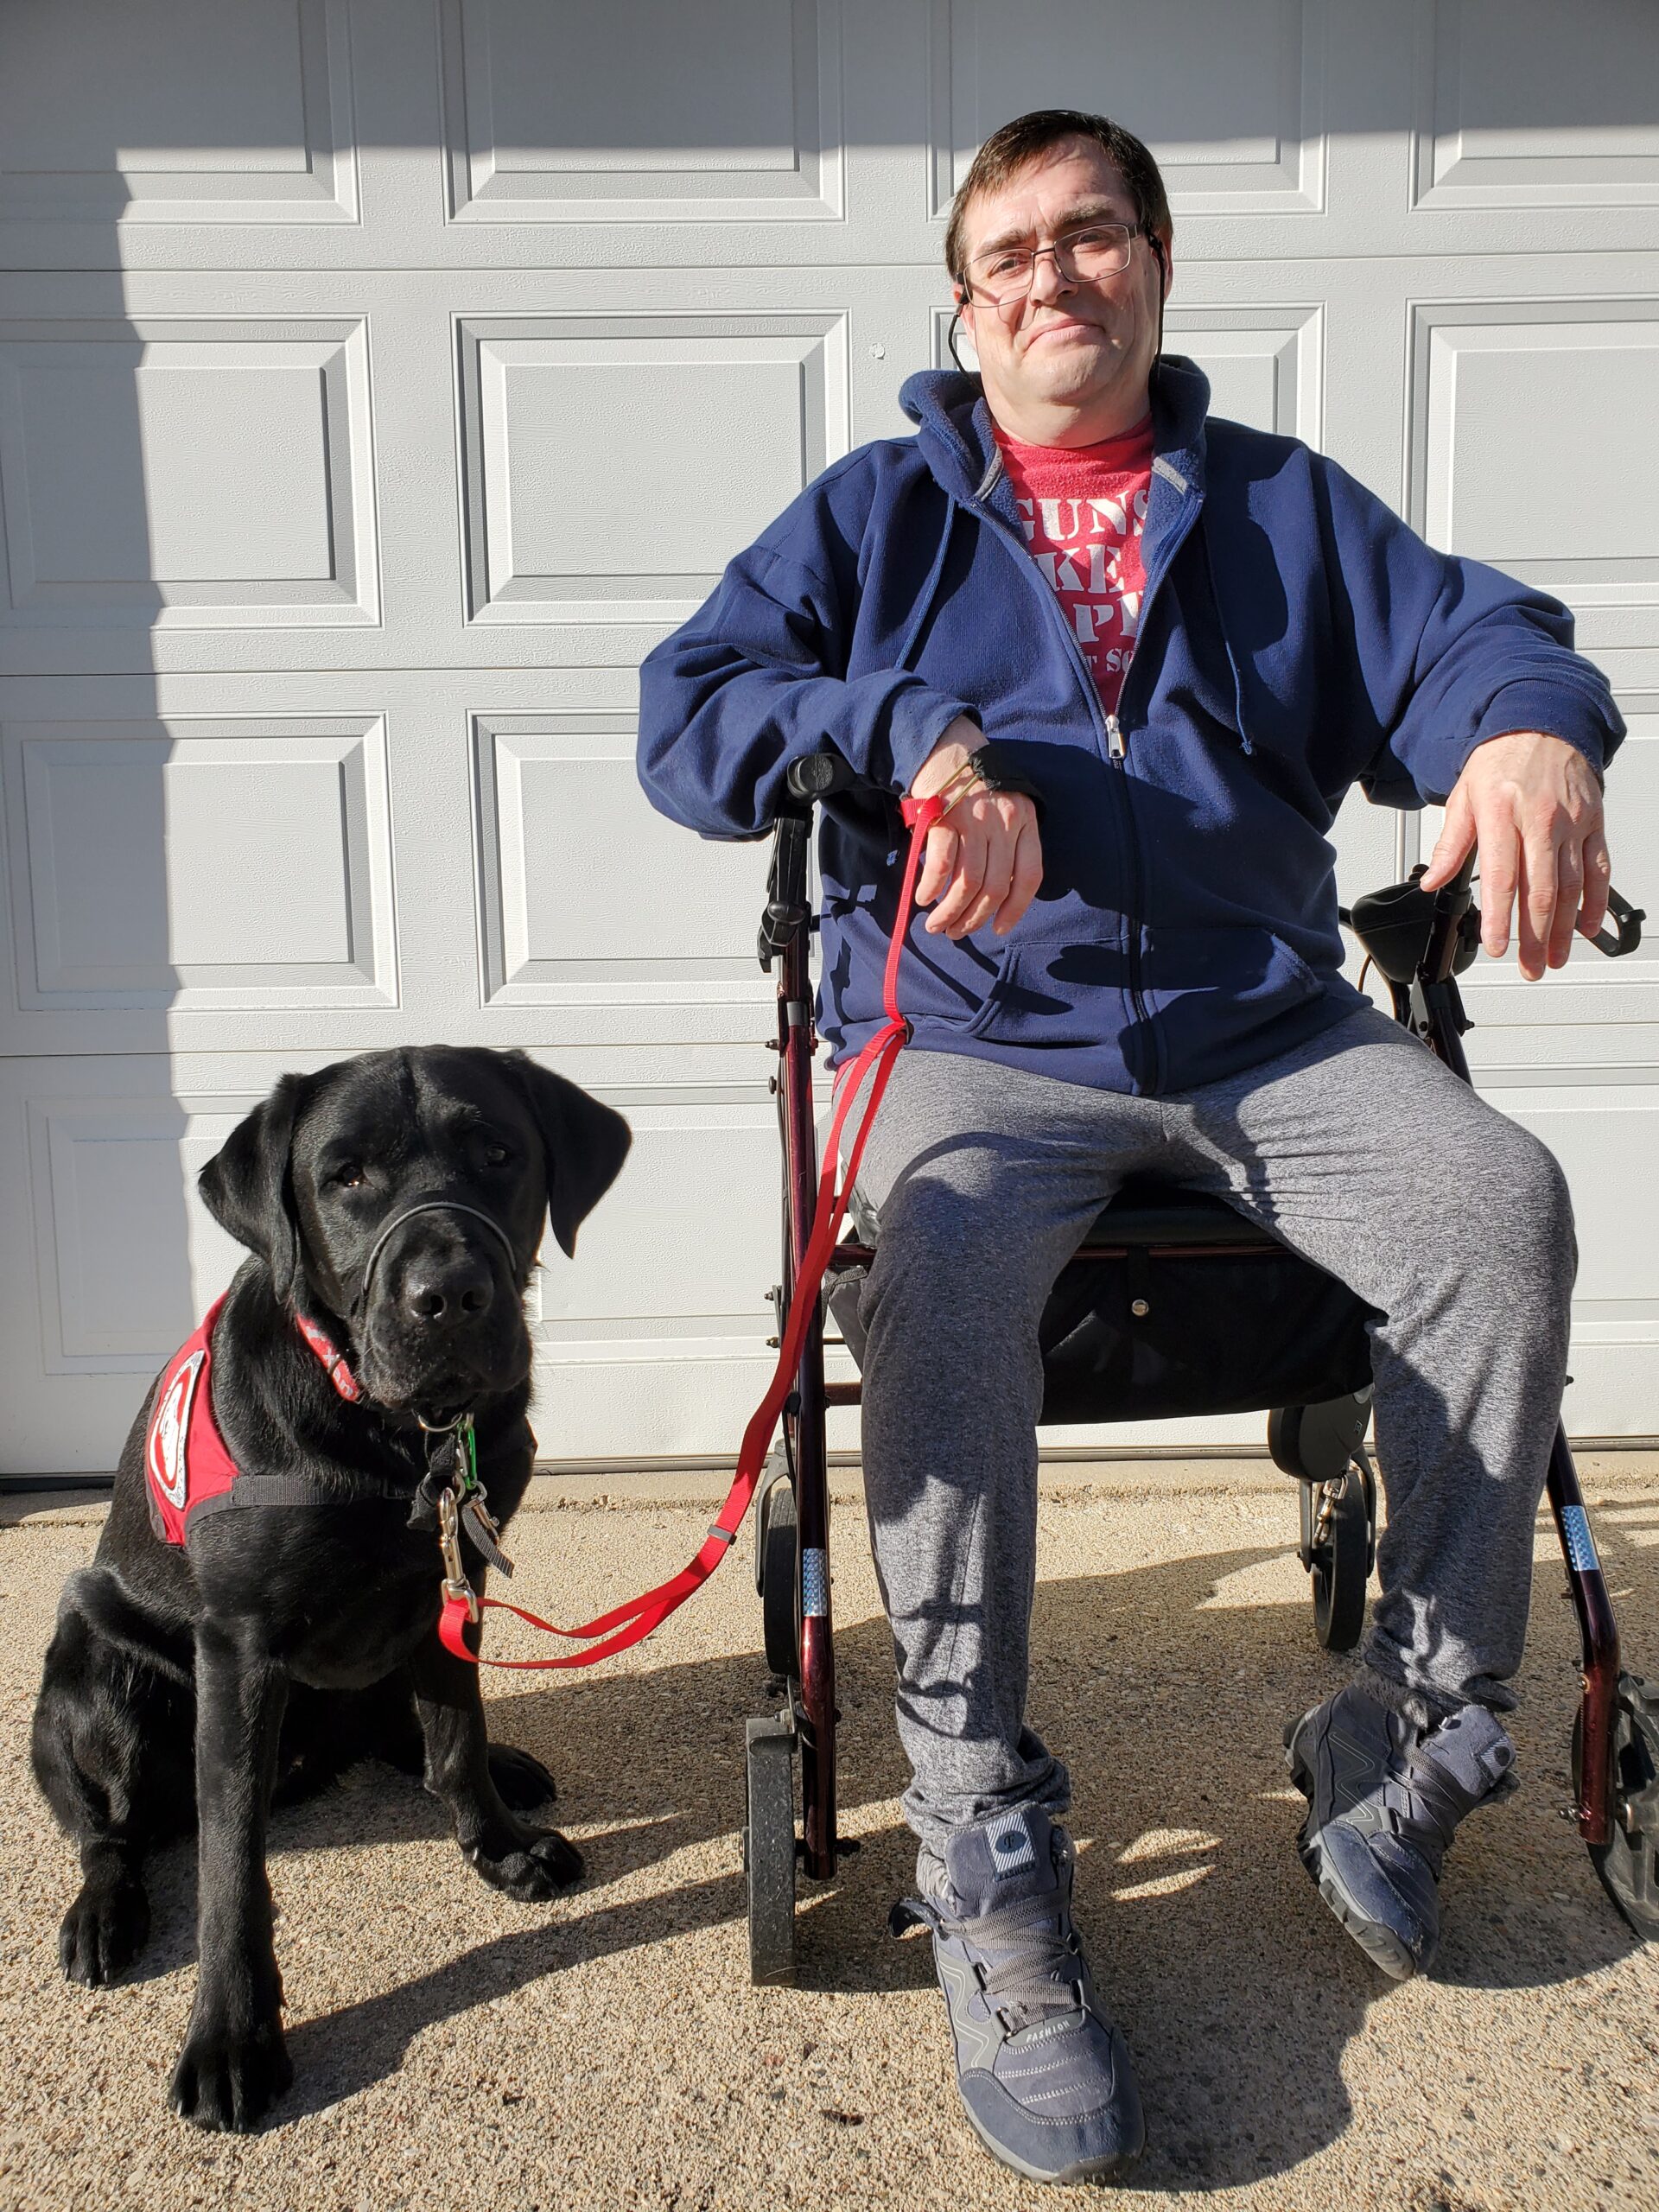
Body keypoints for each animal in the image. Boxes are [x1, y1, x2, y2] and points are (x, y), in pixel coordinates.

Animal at [32, 1048, 628, 2123]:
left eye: (499, 1152)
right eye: (344, 1175)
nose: (449, 1295)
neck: (395, 1437)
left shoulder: (450, 1583)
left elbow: (456, 1738)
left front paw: (498, 1843)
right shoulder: (239, 1646)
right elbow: (232, 1868)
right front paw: (233, 2035)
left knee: (401, 1730)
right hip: (96, 1658)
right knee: (107, 1826)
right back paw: (104, 1911)